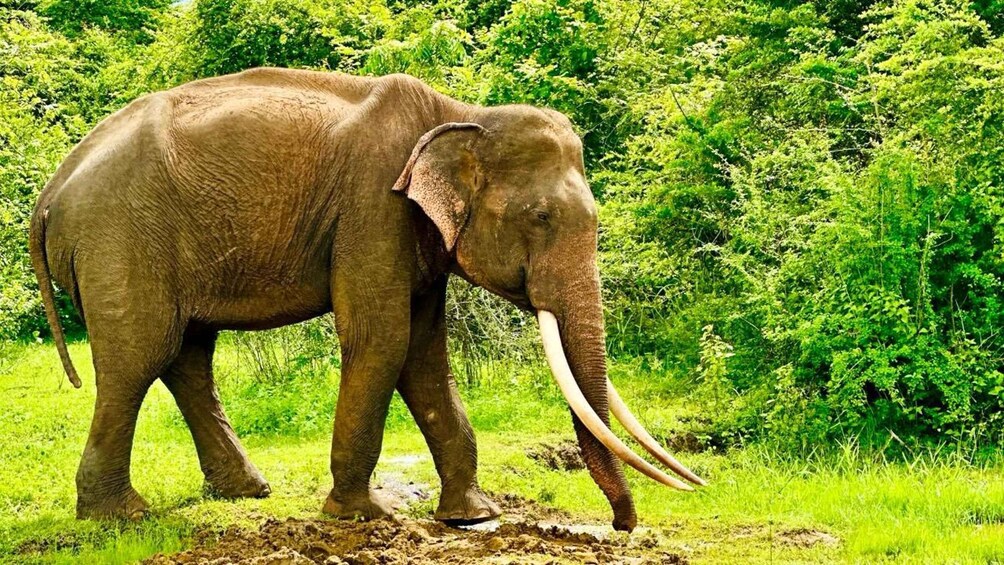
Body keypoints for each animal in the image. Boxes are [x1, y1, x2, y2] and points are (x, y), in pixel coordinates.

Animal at [29, 67, 704, 531]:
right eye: (541, 217)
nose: (623, 524)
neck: (460, 115)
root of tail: (53, 188)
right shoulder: (373, 206)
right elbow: (383, 338)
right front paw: (365, 516)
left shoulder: (419, 235)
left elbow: (425, 355)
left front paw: (471, 516)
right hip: (119, 241)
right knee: (139, 357)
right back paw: (121, 517)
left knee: (188, 356)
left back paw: (246, 492)